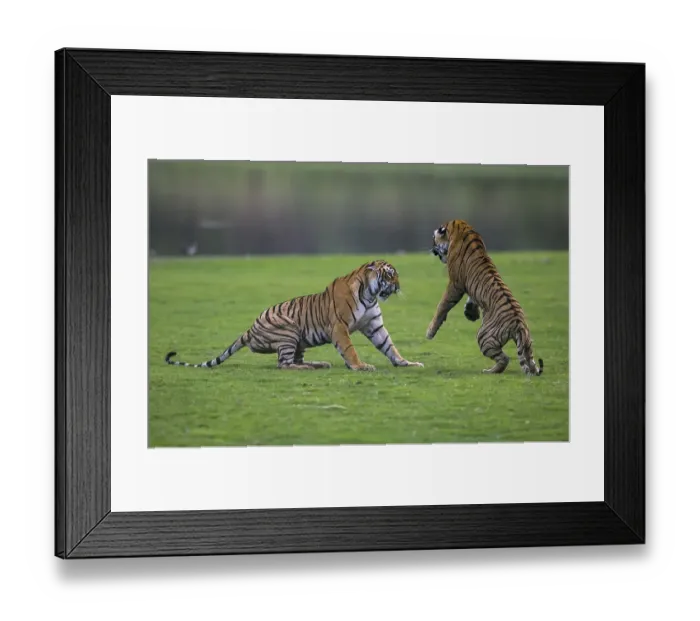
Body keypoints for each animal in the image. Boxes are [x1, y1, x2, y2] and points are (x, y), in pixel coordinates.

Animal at [164, 259, 424, 372]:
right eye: (390, 275)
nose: (398, 286)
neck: (370, 295)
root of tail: (249, 329)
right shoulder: (339, 326)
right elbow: (350, 349)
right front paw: (360, 366)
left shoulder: (374, 325)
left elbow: (389, 346)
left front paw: (406, 363)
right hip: (288, 331)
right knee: (284, 364)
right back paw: (309, 368)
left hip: (299, 340)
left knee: (294, 361)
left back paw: (318, 364)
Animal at [427, 219, 544, 377]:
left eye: (433, 239)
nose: (432, 249)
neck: (461, 228)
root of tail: (518, 324)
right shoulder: (468, 285)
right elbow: (472, 298)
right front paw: (471, 313)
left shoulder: (455, 284)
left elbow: (442, 305)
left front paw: (430, 332)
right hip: (527, 342)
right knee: (529, 360)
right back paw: (532, 370)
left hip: (484, 337)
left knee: (504, 358)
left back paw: (489, 371)